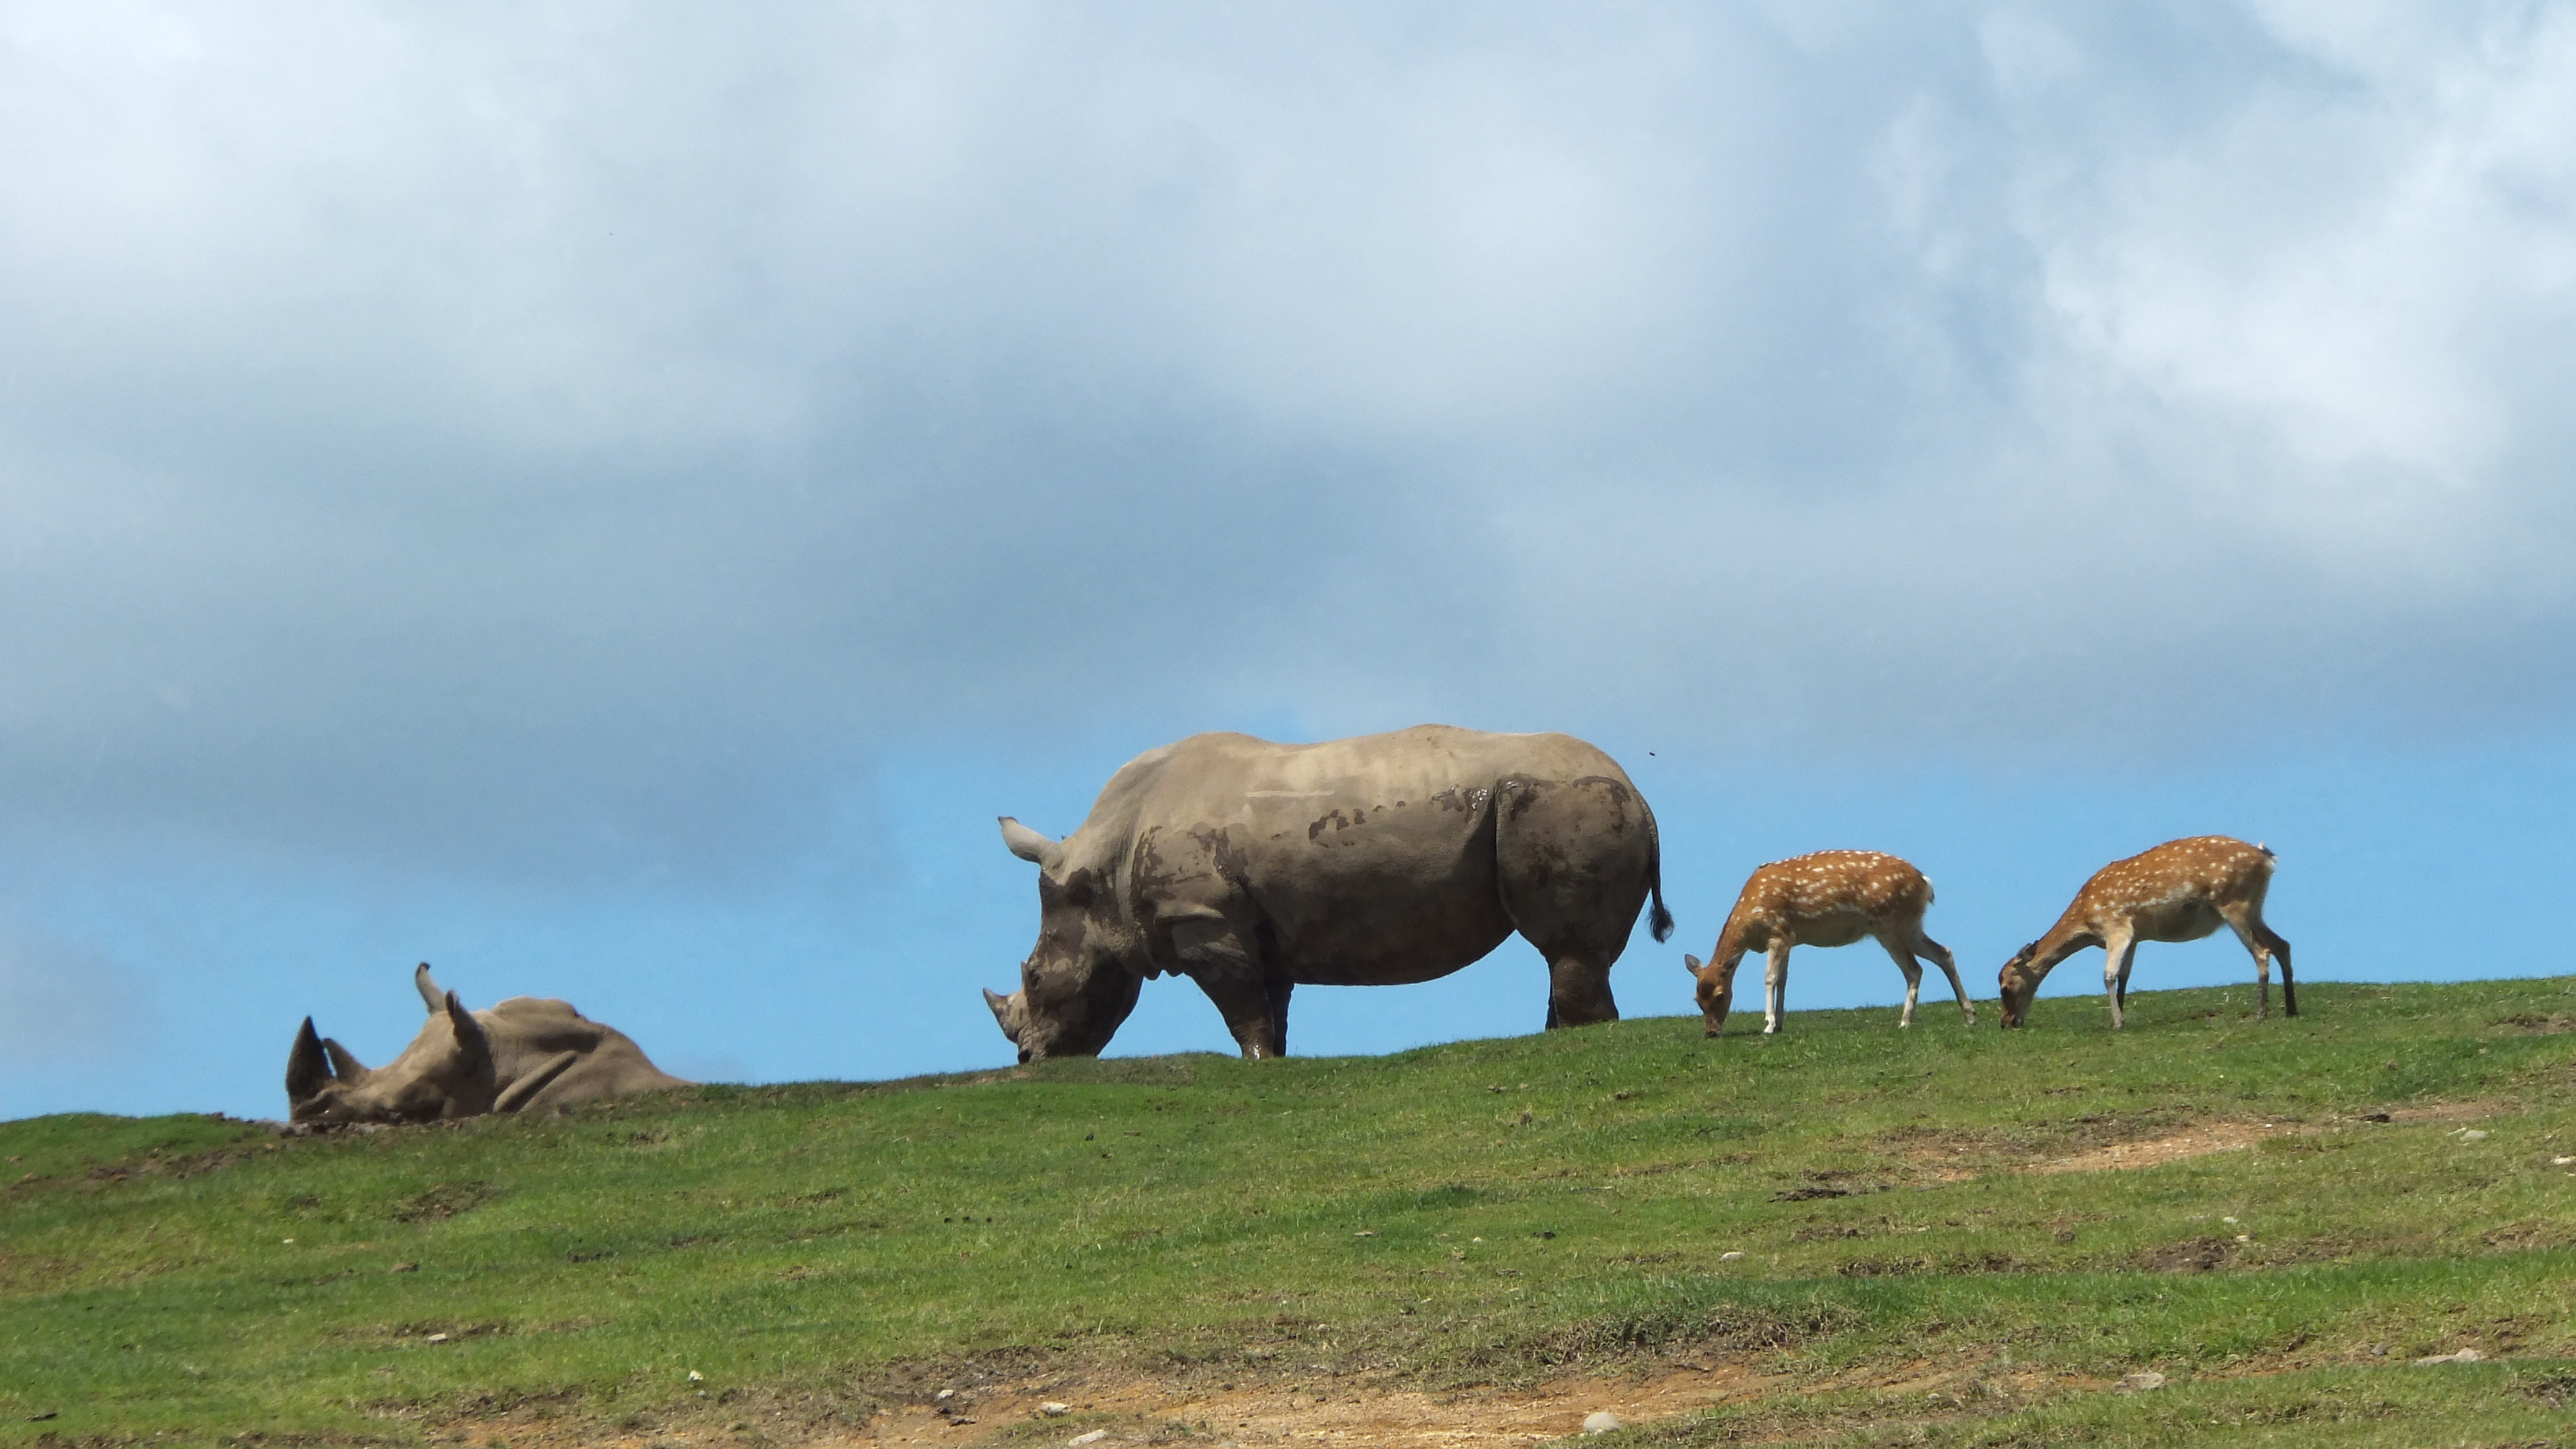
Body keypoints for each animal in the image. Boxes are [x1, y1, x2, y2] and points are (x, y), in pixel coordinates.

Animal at [1684, 850, 1972, 1036]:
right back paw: (1969, 1015)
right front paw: (1780, 1023)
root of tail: (1926, 883)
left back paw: (1905, 1022)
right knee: (1944, 953)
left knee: (1915, 969)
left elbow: (1770, 978)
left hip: (1889, 925)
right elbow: (1784, 980)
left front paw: (1768, 1025)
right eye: (1696, 998)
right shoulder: (1790, 939)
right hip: (1911, 926)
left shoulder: (1778, 932)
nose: (1711, 1032)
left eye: (1721, 995)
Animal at [1996, 835, 2293, 1029]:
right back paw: (2291, 1009)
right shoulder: (2136, 937)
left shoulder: (2117, 926)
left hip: (2234, 903)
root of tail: (2268, 858)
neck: (2087, 924)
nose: (2006, 1022)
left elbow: (2108, 975)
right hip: (2255, 907)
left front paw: (2117, 1023)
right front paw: (2121, 1016)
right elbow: (2124, 977)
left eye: (2005, 986)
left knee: (2262, 951)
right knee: (2283, 944)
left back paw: (2261, 1013)